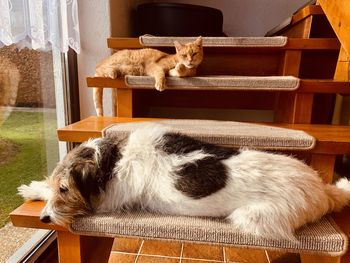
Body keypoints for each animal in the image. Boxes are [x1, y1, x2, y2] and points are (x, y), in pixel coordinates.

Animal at [18, 125, 350, 240]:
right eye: (57, 186)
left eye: (65, 189)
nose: (44, 218)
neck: (112, 161)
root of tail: (322, 189)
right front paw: (33, 187)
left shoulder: (105, 202)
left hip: (254, 217)